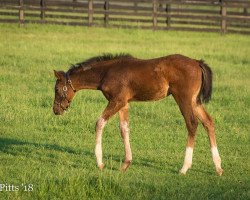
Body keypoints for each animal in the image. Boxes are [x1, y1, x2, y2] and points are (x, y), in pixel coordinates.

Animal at [52, 53, 223, 175]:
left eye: (57, 89)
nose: (56, 110)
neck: (106, 72)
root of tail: (196, 62)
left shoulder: (117, 101)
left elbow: (99, 123)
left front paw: (100, 163)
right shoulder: (124, 103)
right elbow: (124, 129)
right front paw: (126, 163)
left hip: (184, 98)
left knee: (192, 123)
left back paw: (184, 168)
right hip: (195, 101)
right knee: (208, 122)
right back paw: (218, 167)